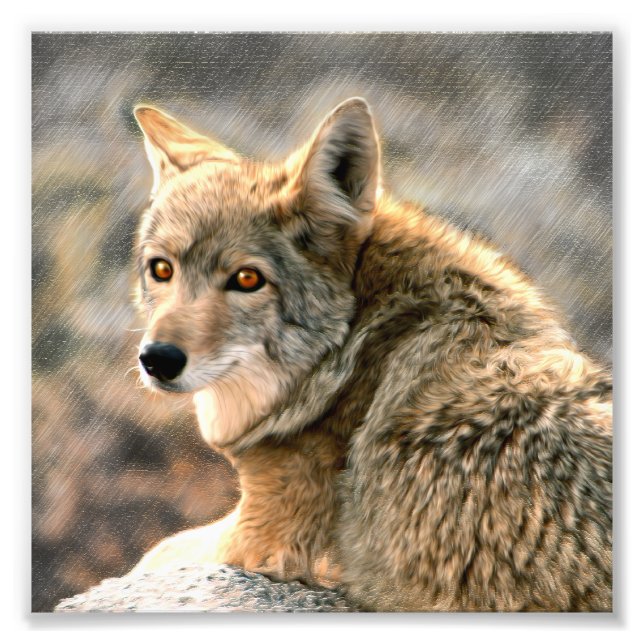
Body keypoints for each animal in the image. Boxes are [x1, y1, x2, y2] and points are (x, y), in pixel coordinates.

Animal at [129, 98, 612, 611]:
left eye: (246, 279)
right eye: (162, 269)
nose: (158, 359)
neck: (350, 351)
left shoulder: (258, 539)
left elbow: (155, 551)